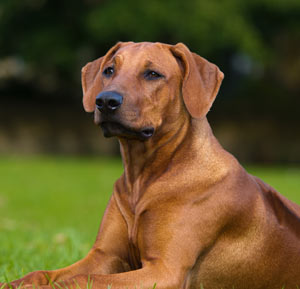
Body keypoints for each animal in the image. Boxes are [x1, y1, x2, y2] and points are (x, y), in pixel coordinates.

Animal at [2, 41, 300, 288]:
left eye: (153, 74)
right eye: (109, 70)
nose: (105, 100)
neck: (143, 176)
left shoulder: (164, 270)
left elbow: (81, 280)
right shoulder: (104, 255)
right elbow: (44, 273)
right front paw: (16, 283)